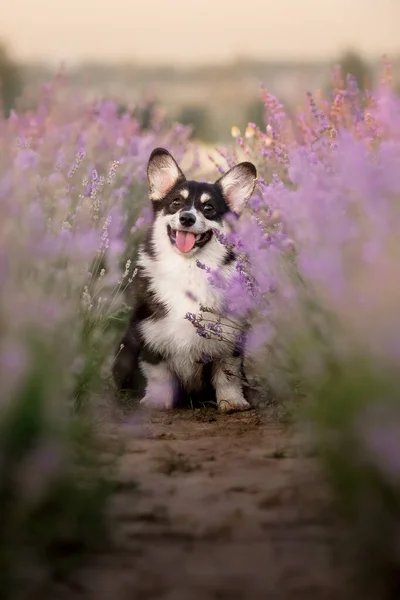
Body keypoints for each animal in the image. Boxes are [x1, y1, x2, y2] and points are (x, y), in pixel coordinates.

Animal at [112, 146, 256, 412]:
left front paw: (232, 402)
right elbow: (157, 372)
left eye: (208, 208)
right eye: (176, 203)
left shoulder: (229, 338)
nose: (186, 218)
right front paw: (156, 400)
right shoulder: (149, 333)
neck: (187, 268)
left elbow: (228, 374)